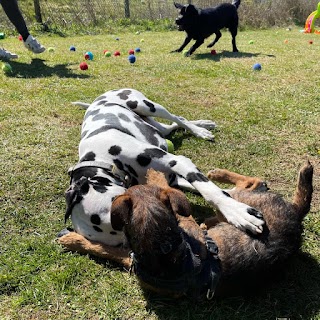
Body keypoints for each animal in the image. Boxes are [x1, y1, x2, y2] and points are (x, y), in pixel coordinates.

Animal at [58, 161, 314, 298]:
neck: (163, 249)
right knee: (248, 185)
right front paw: (72, 240)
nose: (127, 177)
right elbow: (103, 249)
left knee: (248, 185)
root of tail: (296, 215)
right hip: (237, 204)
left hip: (240, 204)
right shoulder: (130, 258)